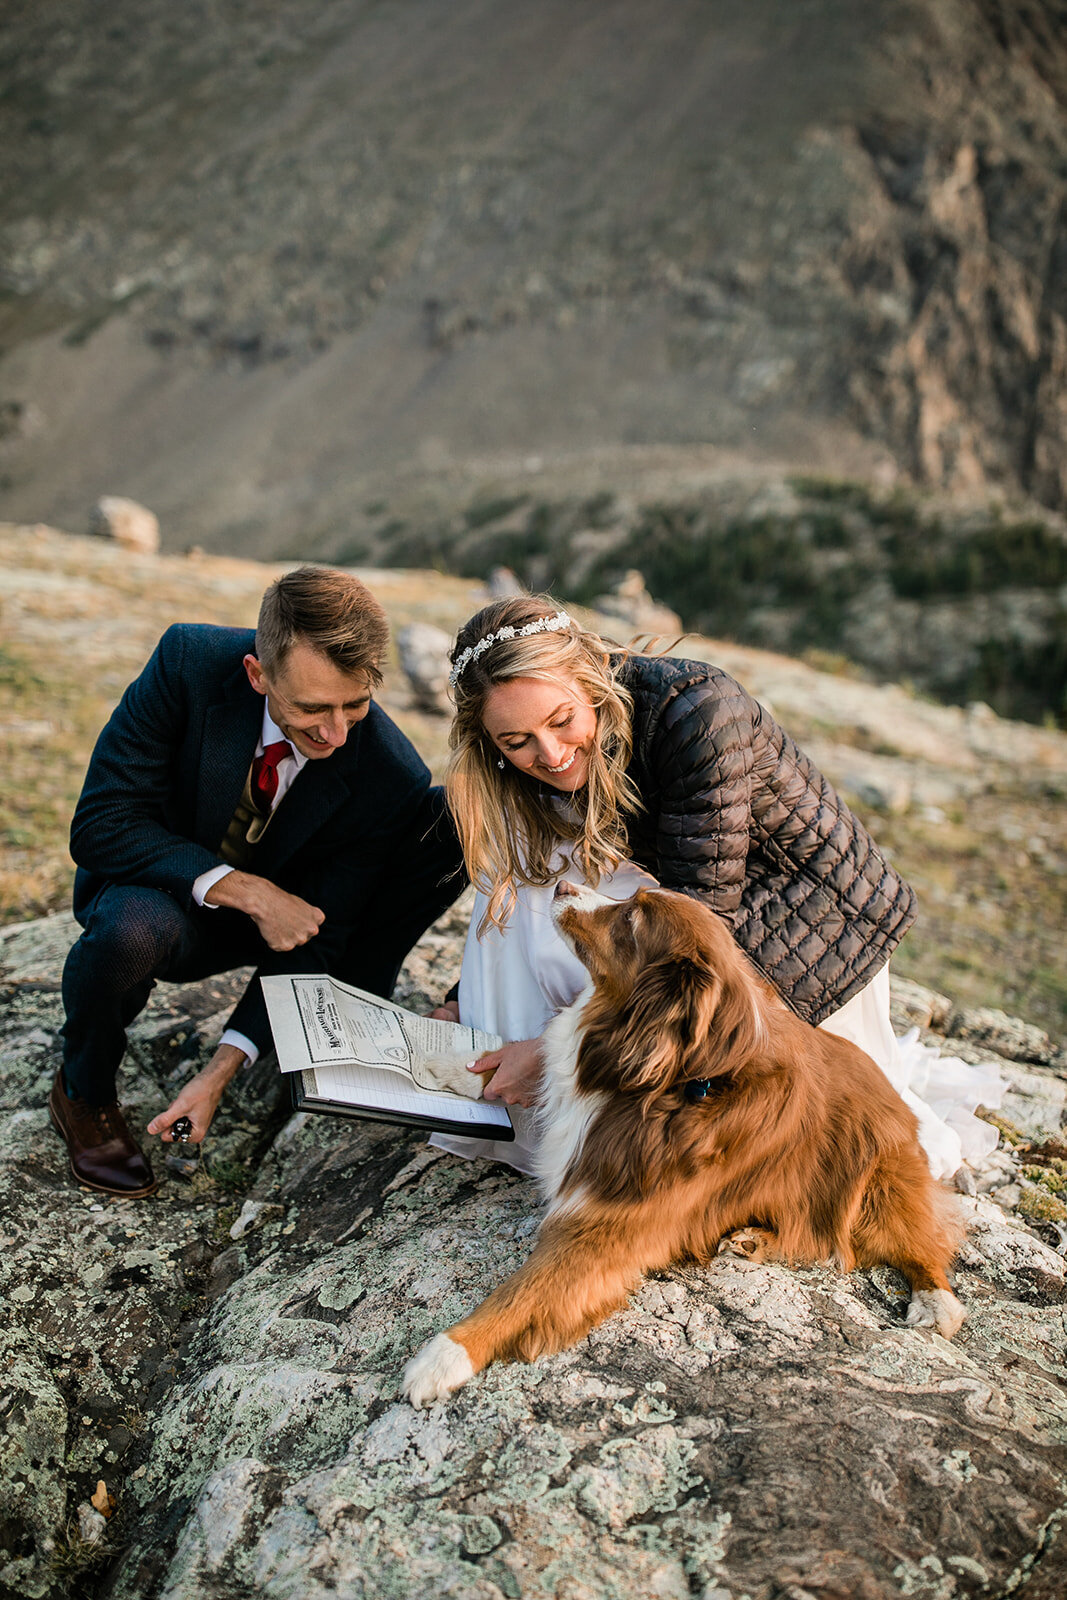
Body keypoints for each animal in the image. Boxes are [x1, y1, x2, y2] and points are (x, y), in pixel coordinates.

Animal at [403, 883, 966, 1408]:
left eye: (631, 918)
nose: (561, 885)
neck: (672, 1082)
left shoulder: (606, 1228)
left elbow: (520, 1293)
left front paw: (443, 1356)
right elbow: (530, 1065)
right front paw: (451, 1064)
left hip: (880, 1187)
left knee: (917, 1245)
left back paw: (934, 1302)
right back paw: (751, 1240)